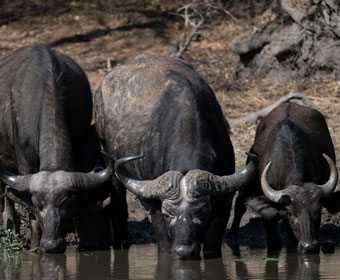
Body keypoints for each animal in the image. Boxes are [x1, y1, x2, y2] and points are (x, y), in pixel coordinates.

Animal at [93, 53, 258, 260]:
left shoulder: (224, 202)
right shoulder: (152, 205)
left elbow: (212, 246)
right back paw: (123, 239)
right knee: (117, 197)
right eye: (168, 214)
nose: (184, 250)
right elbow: (164, 245)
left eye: (201, 213)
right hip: (107, 155)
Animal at [228, 103, 338, 254]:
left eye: (318, 210)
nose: (309, 246)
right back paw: (232, 233)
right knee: (240, 202)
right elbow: (274, 244)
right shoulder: (269, 216)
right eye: (290, 212)